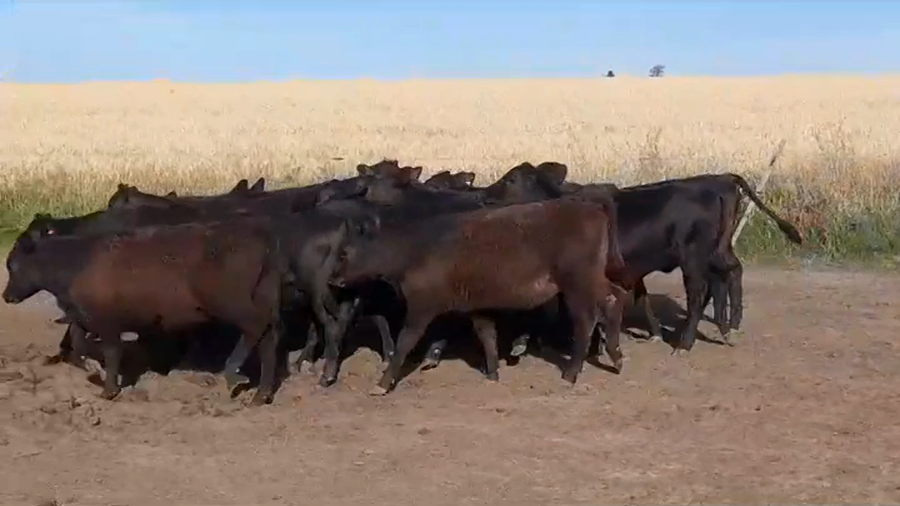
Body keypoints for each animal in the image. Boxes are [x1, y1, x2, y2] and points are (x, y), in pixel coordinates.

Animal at [328, 197, 627, 395]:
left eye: (344, 253)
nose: (332, 279)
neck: (416, 249)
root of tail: (590, 206)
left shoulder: (421, 309)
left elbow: (404, 343)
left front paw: (382, 384)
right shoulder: (476, 307)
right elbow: (487, 336)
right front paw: (493, 372)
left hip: (577, 284)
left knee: (586, 320)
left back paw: (571, 374)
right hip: (592, 281)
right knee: (614, 299)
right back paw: (616, 357)